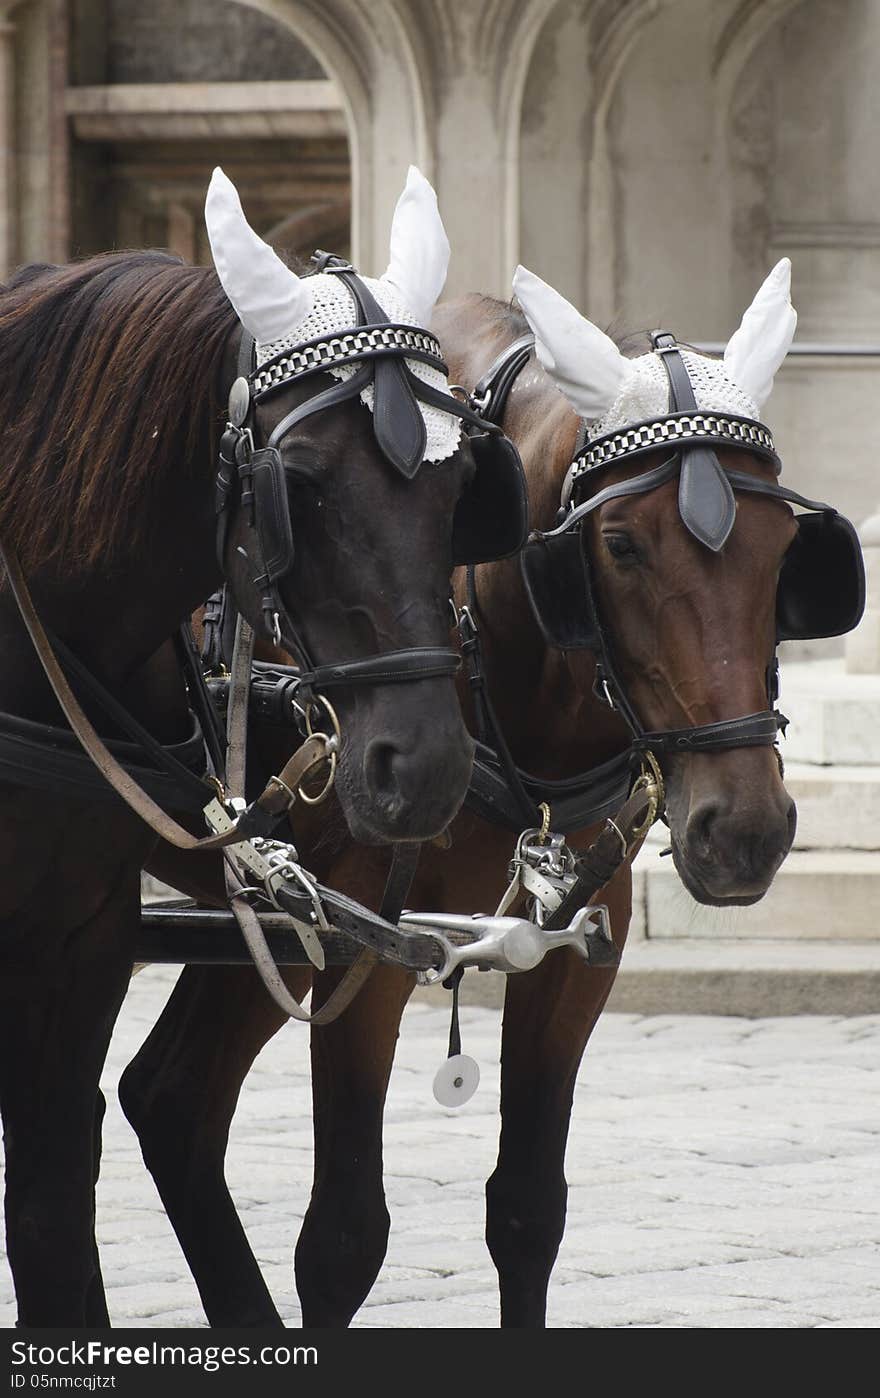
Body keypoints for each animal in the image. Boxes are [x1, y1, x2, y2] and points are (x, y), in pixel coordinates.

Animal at [121, 280, 828, 1319]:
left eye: (785, 550)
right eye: (621, 545)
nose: (743, 829)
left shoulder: (575, 948)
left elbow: (529, 1212)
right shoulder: (360, 943)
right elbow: (342, 1240)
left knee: (172, 1099)